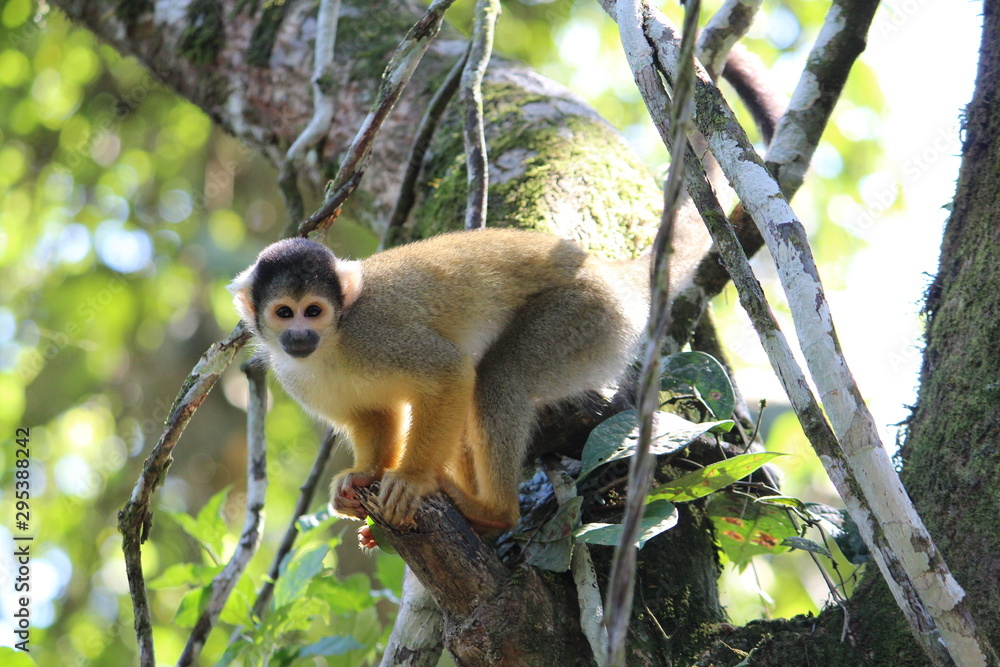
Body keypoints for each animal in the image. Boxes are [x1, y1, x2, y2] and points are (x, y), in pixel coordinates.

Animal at [229, 228, 650, 538]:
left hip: (586, 315)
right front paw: (362, 476)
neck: (333, 341)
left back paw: (494, 512)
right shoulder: (295, 376)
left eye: (313, 311)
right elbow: (373, 415)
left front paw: (411, 479)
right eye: (285, 313)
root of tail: (610, 272)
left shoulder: (376, 334)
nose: (299, 336)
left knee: (498, 376)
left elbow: (450, 373)